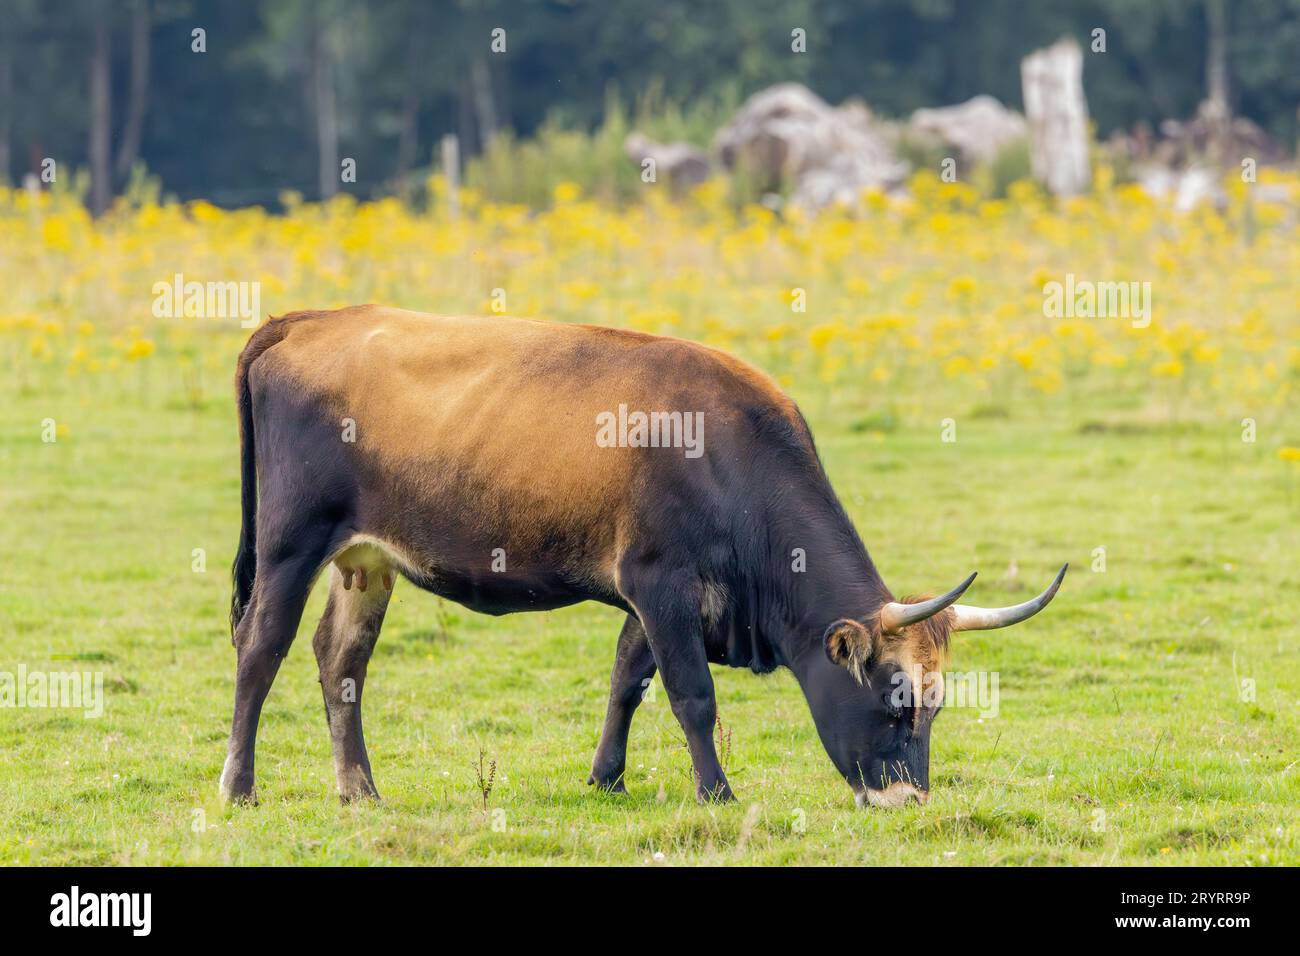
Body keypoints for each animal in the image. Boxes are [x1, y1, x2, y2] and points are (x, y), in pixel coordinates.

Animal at [221, 305, 1066, 808]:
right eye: (895, 702)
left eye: (936, 705)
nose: (910, 800)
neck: (727, 457)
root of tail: (307, 321)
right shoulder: (659, 581)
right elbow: (692, 696)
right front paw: (717, 792)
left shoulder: (653, 598)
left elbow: (628, 680)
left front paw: (607, 777)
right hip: (292, 542)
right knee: (260, 649)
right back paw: (239, 785)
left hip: (366, 562)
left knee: (341, 661)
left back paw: (359, 790)